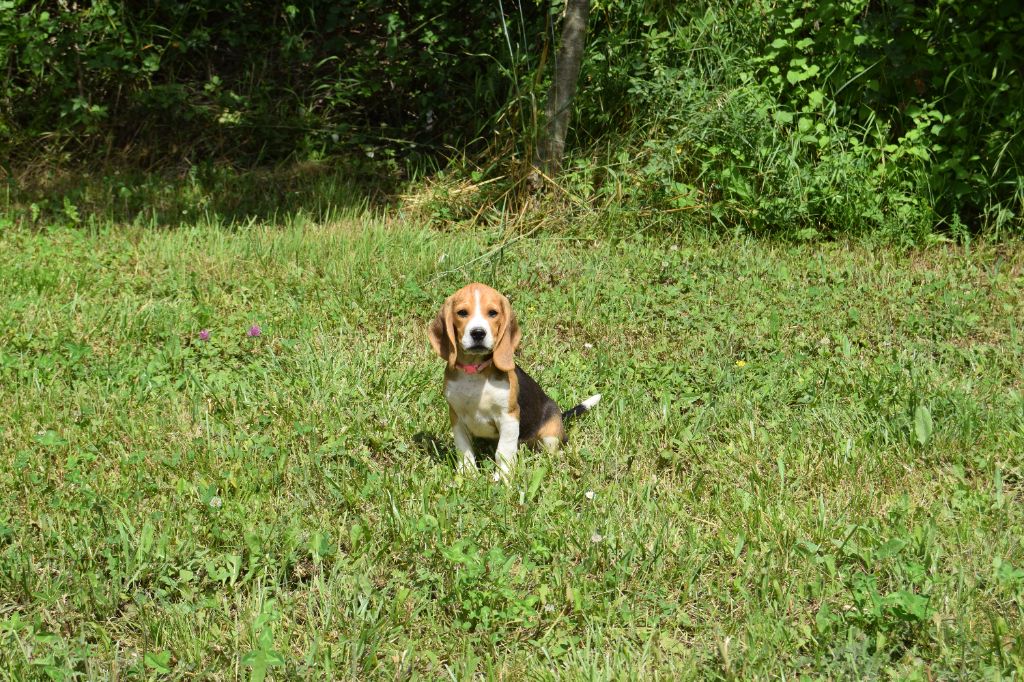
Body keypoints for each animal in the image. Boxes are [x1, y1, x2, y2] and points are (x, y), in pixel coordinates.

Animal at [425, 280, 598, 477]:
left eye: (493, 313)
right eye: (462, 312)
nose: (478, 333)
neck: (475, 373)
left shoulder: (509, 416)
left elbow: (504, 451)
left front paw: (502, 477)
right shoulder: (456, 416)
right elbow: (464, 450)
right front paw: (468, 475)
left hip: (550, 434)